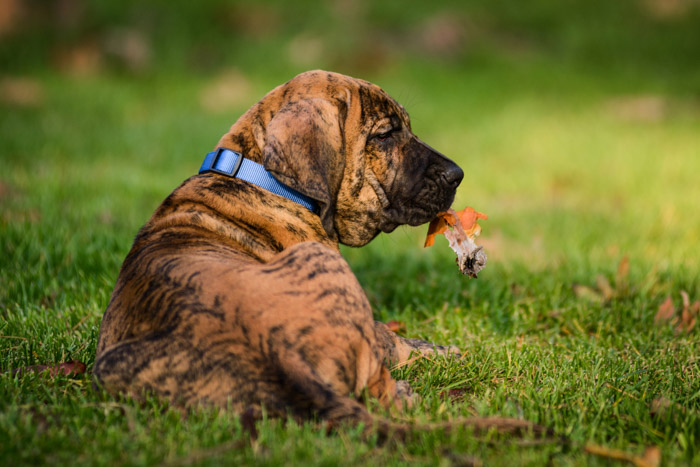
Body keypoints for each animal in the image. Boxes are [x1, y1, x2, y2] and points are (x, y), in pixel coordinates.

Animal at [93, 70, 464, 428]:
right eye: (385, 135)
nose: (457, 175)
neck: (259, 175)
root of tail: (276, 349)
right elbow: (390, 336)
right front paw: (443, 350)